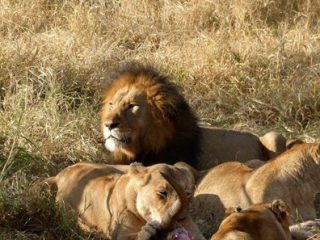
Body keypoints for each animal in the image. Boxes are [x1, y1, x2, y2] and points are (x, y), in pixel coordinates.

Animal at [44, 162, 204, 239]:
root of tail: (59, 175)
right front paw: (149, 232)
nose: (180, 218)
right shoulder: (121, 232)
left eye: (188, 194)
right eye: (162, 193)